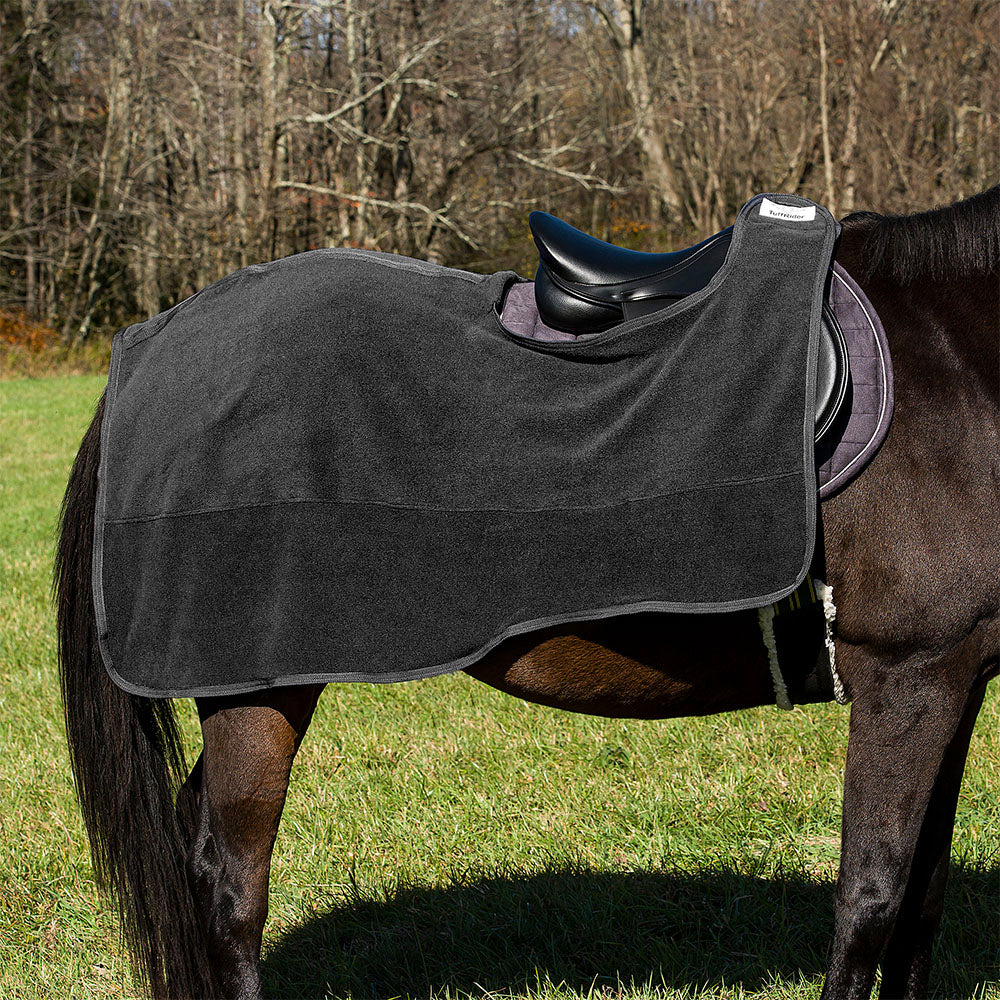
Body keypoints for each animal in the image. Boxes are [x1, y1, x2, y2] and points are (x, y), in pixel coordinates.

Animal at [54, 186, 999, 1000]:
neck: (955, 361)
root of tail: (152, 342)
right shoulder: (904, 678)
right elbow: (870, 904)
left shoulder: (952, 683)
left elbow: (922, 902)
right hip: (259, 689)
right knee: (231, 889)